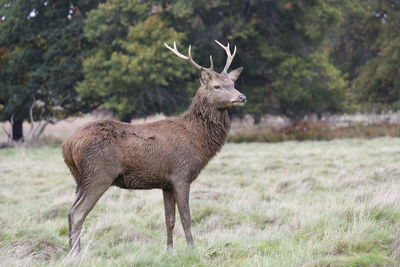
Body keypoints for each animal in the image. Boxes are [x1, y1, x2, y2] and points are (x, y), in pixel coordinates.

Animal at [61, 39, 245, 255]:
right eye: (217, 86)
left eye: (233, 83)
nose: (242, 97)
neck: (197, 140)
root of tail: (67, 145)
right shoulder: (181, 175)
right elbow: (187, 218)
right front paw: (192, 249)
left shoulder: (166, 183)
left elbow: (169, 220)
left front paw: (170, 250)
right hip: (99, 174)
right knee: (78, 213)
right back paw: (76, 255)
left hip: (80, 178)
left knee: (70, 211)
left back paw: (70, 253)